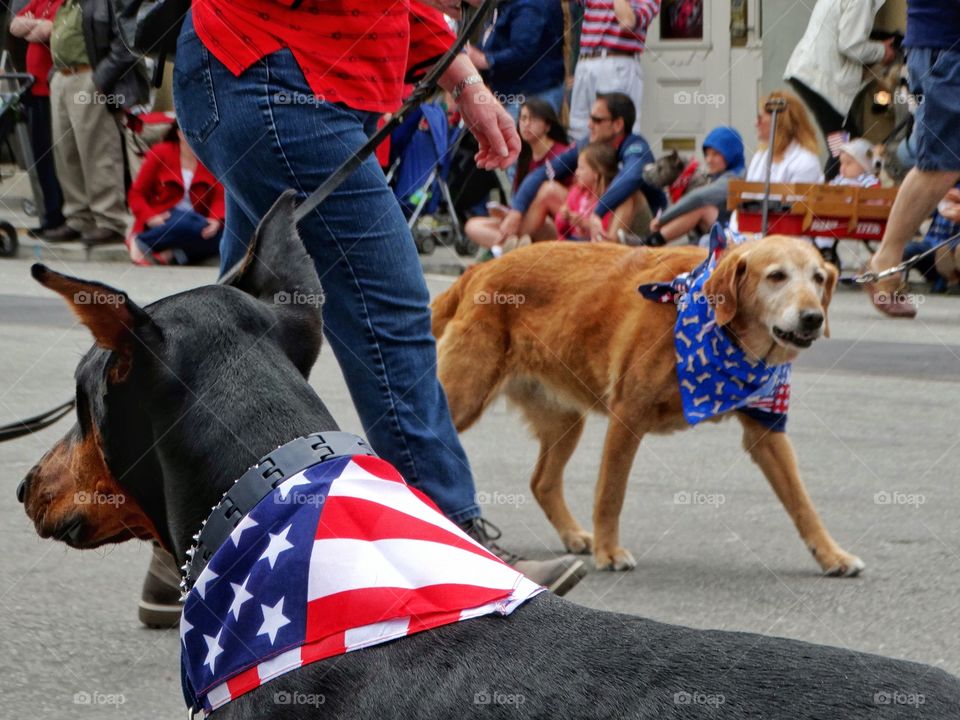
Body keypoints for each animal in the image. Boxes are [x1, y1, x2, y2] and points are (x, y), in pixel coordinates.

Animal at [432, 236, 868, 572]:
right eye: (776, 276)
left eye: (818, 278)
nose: (813, 317)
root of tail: (482, 269)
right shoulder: (628, 414)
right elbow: (611, 492)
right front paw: (609, 552)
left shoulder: (765, 431)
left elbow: (801, 501)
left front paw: (831, 555)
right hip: (461, 397)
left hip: (565, 419)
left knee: (541, 481)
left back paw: (572, 534)